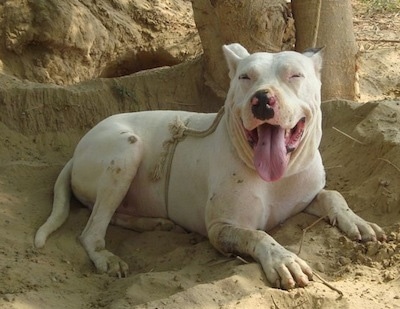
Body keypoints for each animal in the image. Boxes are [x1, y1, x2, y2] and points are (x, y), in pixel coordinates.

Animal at [36, 43, 386, 288]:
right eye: (245, 77)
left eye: (294, 75)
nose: (262, 99)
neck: (277, 176)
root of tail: (77, 149)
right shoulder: (220, 229)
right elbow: (259, 235)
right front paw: (283, 258)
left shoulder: (306, 194)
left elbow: (333, 196)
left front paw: (358, 221)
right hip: (125, 149)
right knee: (91, 229)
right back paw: (107, 257)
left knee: (111, 214)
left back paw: (155, 223)